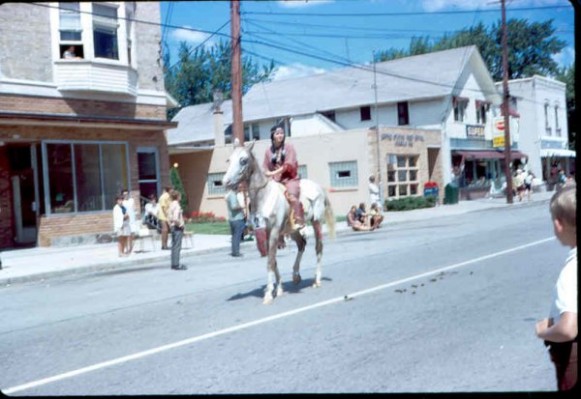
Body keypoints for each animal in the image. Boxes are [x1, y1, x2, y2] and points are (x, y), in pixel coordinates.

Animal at [221, 140, 336, 304]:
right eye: (229, 160)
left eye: (243, 160)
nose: (226, 182)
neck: (263, 196)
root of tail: (319, 188)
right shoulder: (265, 232)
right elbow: (273, 259)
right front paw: (279, 288)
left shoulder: (274, 230)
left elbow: (270, 261)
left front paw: (269, 294)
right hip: (293, 230)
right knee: (302, 244)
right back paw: (296, 275)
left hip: (316, 222)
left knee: (318, 248)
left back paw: (317, 280)